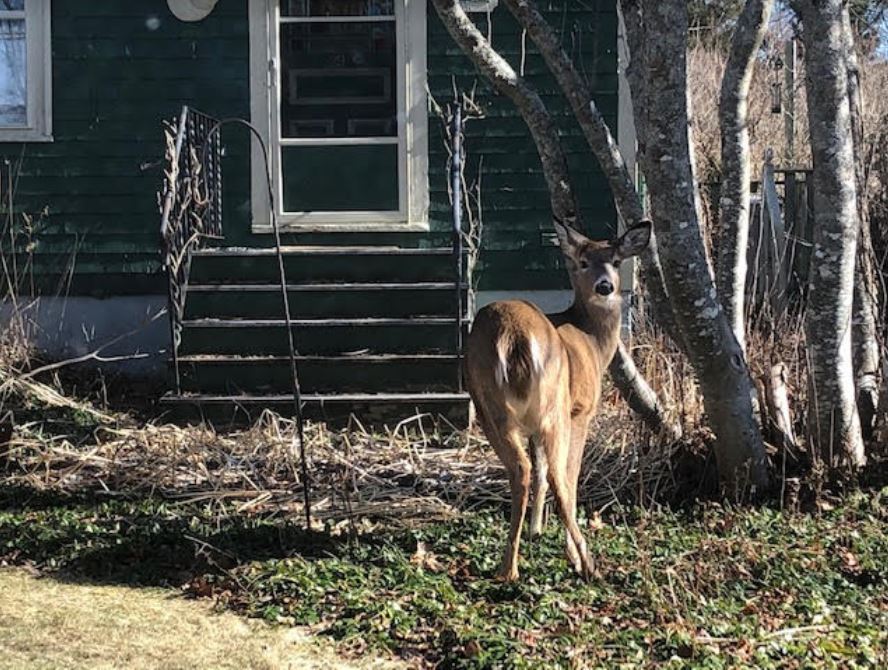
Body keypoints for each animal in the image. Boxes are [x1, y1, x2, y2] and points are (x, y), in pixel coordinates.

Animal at [464, 217, 652, 584]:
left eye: (616, 260)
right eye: (583, 262)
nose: (606, 286)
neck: (593, 342)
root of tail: (515, 336)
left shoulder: (532, 426)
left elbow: (539, 469)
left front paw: (536, 530)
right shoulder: (582, 410)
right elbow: (569, 474)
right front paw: (569, 550)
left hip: (487, 406)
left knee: (521, 469)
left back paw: (508, 567)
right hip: (555, 407)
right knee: (559, 478)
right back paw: (587, 563)